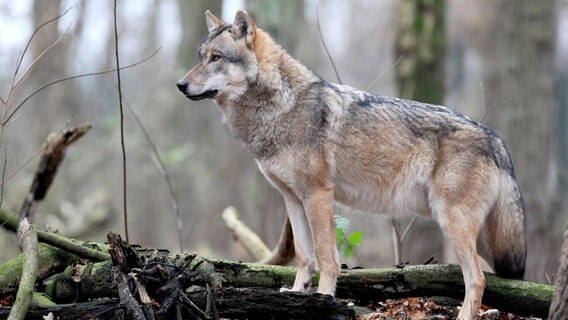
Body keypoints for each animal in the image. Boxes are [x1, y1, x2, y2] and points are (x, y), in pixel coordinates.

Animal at [178, 10, 528, 320]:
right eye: (200, 57)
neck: (281, 107)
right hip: (477, 235)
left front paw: (323, 298)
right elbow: (304, 257)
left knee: (477, 280)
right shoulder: (293, 199)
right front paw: (296, 295)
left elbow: (325, 256)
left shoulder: (318, 195)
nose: (180, 84)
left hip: (454, 223)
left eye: (216, 58)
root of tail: (497, 139)